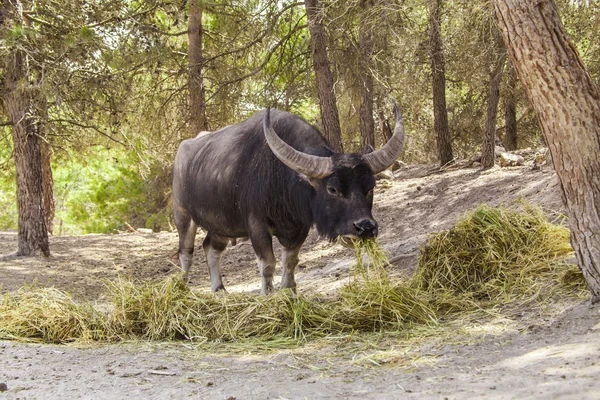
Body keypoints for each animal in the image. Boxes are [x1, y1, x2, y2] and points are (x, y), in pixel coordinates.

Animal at [173, 102, 408, 294]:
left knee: (210, 248)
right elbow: (268, 264)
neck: (282, 179)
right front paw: (267, 295)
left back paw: (219, 288)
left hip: (221, 225)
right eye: (332, 189)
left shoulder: (300, 226)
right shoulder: (257, 225)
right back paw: (183, 288)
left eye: (370, 187)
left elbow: (291, 261)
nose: (365, 228)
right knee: (186, 253)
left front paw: (289, 290)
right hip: (183, 215)